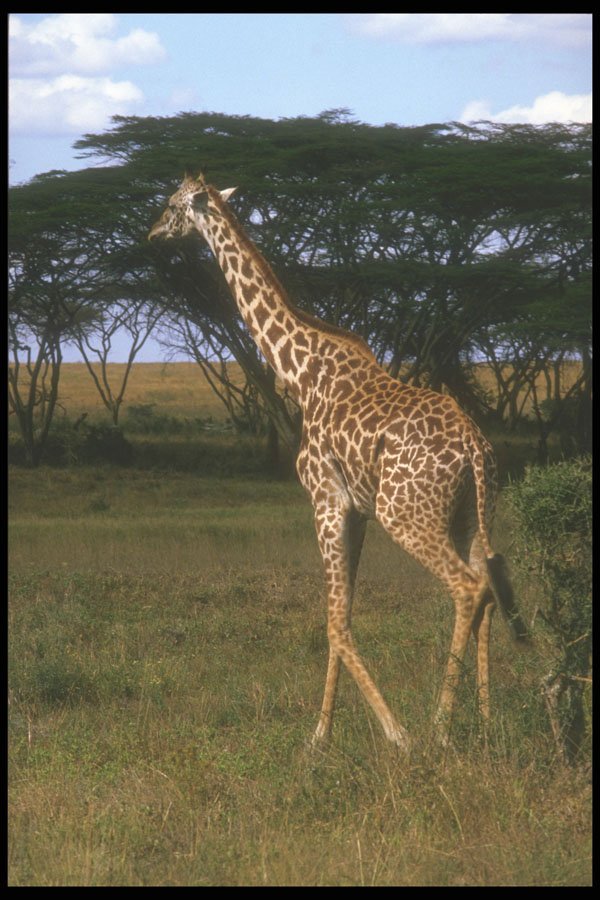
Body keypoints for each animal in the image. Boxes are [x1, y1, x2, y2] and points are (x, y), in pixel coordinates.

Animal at [149, 173, 529, 750]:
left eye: (172, 205)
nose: (152, 233)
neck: (300, 373)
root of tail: (474, 449)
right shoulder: (356, 510)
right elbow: (341, 614)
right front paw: (320, 735)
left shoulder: (325, 499)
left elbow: (334, 621)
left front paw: (393, 733)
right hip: (469, 512)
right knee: (487, 585)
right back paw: (484, 723)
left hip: (407, 514)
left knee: (467, 587)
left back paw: (438, 729)